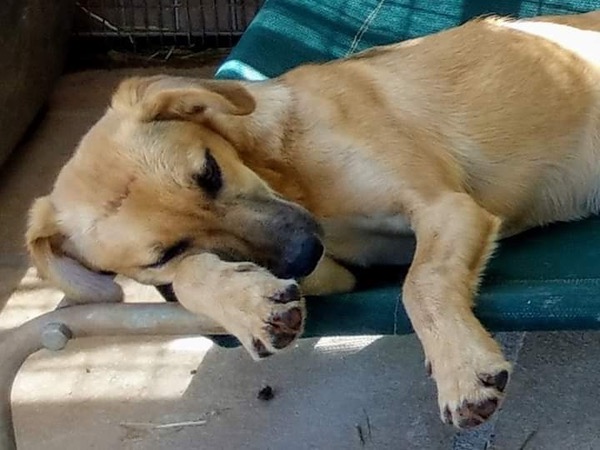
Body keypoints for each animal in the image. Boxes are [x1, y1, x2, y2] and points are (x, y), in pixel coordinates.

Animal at [25, 11, 600, 428]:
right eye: (164, 253)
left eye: (209, 171)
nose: (303, 254)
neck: (285, 171)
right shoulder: (342, 273)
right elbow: (189, 277)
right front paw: (246, 302)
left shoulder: (446, 207)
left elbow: (420, 283)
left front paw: (459, 367)